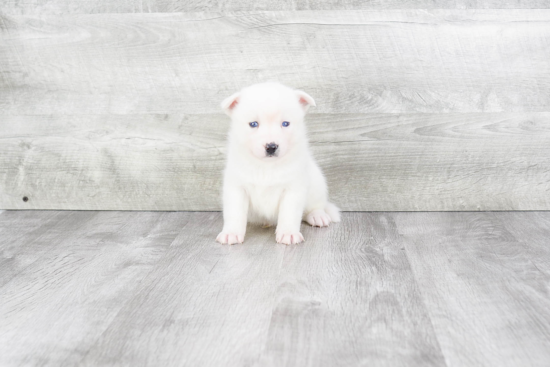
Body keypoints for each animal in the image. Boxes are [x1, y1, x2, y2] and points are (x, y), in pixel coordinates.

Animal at [217, 82, 340, 246]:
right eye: (253, 124)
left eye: (285, 124)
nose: (271, 146)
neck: (266, 167)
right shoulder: (237, 187)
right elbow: (235, 212)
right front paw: (231, 233)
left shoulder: (293, 188)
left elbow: (289, 213)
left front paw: (289, 233)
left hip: (317, 184)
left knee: (316, 206)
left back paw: (317, 216)